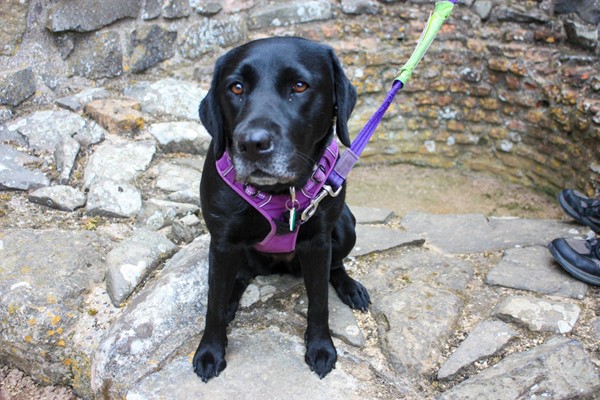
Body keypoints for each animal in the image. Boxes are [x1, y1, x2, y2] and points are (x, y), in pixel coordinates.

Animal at [195, 36, 370, 382]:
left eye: (299, 86)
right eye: (236, 87)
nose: (251, 144)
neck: (280, 193)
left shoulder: (317, 242)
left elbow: (319, 302)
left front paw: (321, 348)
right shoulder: (222, 242)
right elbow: (213, 302)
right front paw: (210, 351)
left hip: (346, 227)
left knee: (335, 265)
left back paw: (349, 287)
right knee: (238, 277)